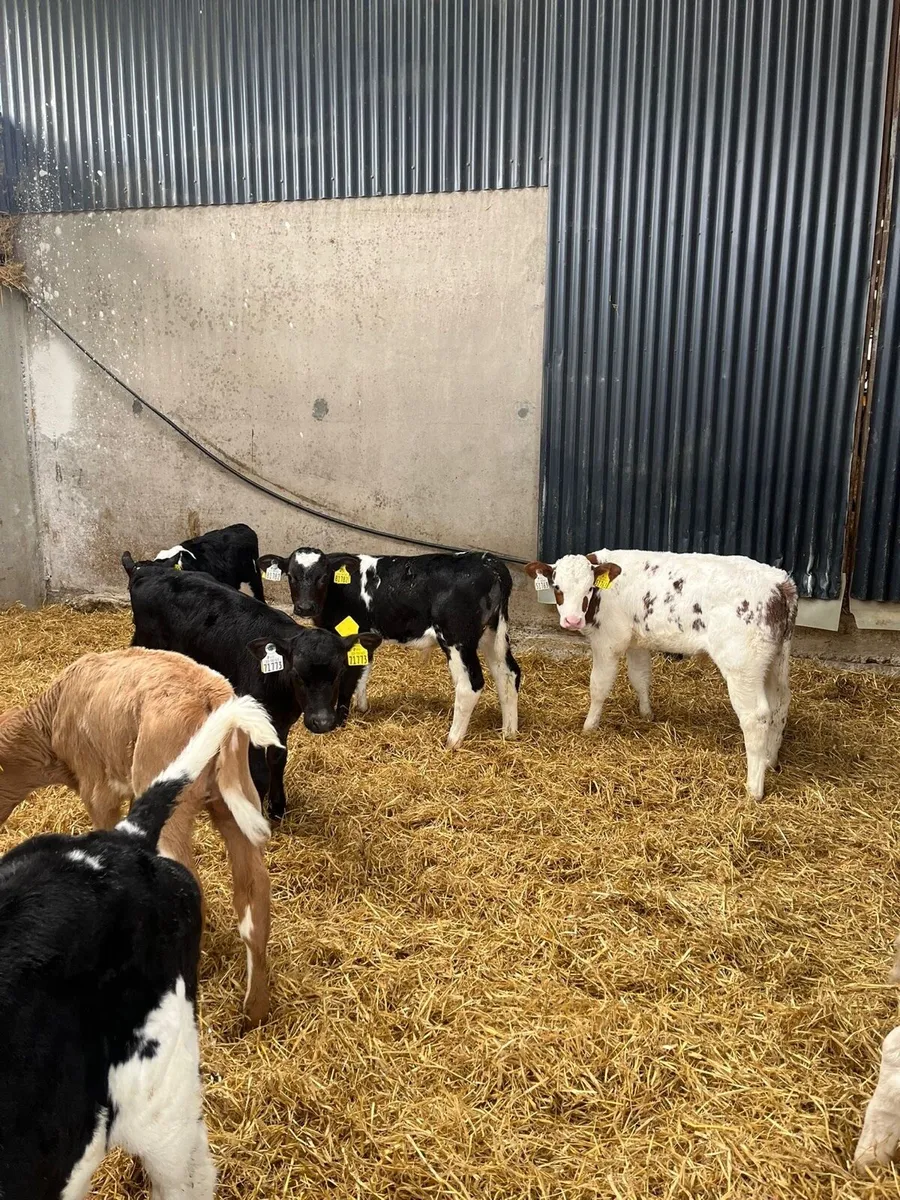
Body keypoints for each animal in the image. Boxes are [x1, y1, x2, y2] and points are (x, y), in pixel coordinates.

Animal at [0, 648, 280, 1026]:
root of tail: (211, 692)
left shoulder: (98, 790)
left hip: (172, 798)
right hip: (235, 802)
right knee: (254, 888)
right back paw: (254, 1011)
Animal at [126, 567, 380, 818]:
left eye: (339, 672)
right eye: (297, 674)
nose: (323, 722)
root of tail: (147, 570)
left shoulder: (281, 722)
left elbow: (277, 759)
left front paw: (277, 807)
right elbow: (258, 771)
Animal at [257, 547, 521, 748]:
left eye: (323, 576)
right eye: (291, 576)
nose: (305, 607)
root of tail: (489, 562)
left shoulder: (349, 635)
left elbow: (348, 679)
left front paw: (340, 721)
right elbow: (363, 671)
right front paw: (362, 707)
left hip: (457, 638)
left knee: (470, 686)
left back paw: (452, 741)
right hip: (491, 633)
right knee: (508, 674)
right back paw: (509, 732)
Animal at [525, 550, 798, 798]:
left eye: (589, 588)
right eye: (557, 587)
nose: (572, 620)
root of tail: (779, 581)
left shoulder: (609, 642)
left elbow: (599, 687)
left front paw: (589, 726)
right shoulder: (636, 641)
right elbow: (640, 678)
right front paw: (646, 714)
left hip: (742, 665)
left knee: (756, 716)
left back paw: (754, 788)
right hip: (775, 660)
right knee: (780, 703)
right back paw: (770, 760)